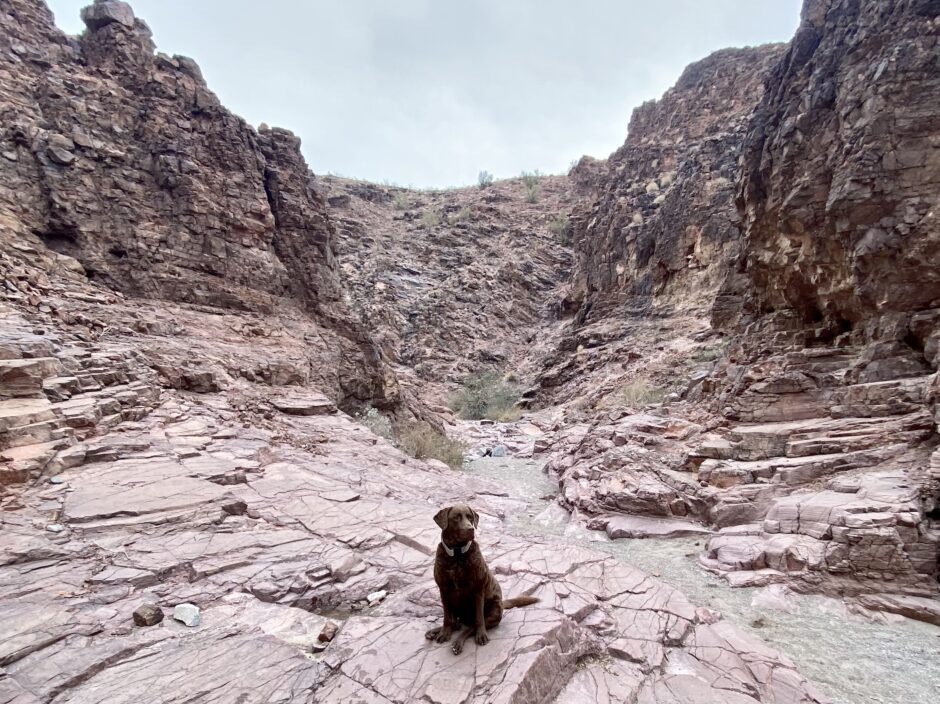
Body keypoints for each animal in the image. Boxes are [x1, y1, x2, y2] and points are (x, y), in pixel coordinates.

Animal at [424, 500, 536, 656]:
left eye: (470, 517)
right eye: (456, 517)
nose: (471, 529)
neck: (457, 556)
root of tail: (502, 603)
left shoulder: (477, 590)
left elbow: (478, 620)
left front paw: (481, 636)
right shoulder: (443, 590)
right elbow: (446, 617)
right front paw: (444, 633)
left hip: (494, 611)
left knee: (470, 627)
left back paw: (458, 642)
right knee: (455, 623)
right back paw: (434, 631)